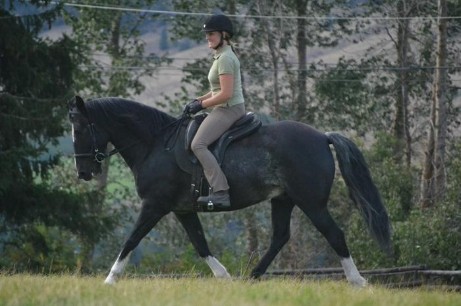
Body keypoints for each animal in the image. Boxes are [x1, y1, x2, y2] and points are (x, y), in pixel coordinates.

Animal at [68, 94, 390, 286]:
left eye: (80, 129)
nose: (83, 173)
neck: (155, 144)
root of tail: (323, 137)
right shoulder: (182, 209)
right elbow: (200, 244)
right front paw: (224, 278)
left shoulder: (154, 205)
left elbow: (131, 240)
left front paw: (109, 281)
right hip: (283, 200)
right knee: (280, 237)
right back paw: (252, 277)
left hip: (311, 203)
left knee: (334, 235)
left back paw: (358, 282)